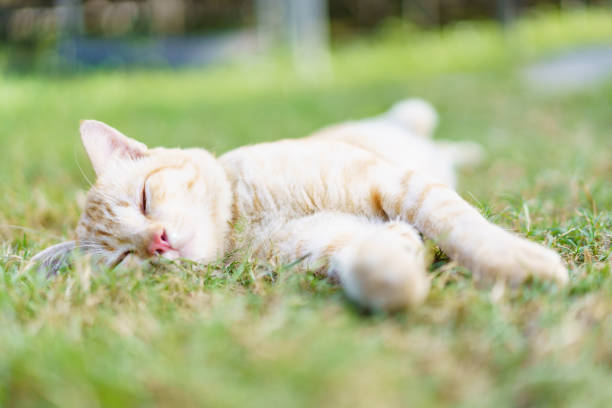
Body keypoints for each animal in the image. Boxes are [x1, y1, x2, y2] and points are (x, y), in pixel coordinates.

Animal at [32, 100, 568, 310]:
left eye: (143, 199)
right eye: (124, 258)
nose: (158, 242)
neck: (242, 221)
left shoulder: (396, 183)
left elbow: (460, 225)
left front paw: (516, 263)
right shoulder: (329, 249)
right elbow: (371, 266)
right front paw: (398, 266)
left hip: (413, 123)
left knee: (433, 132)